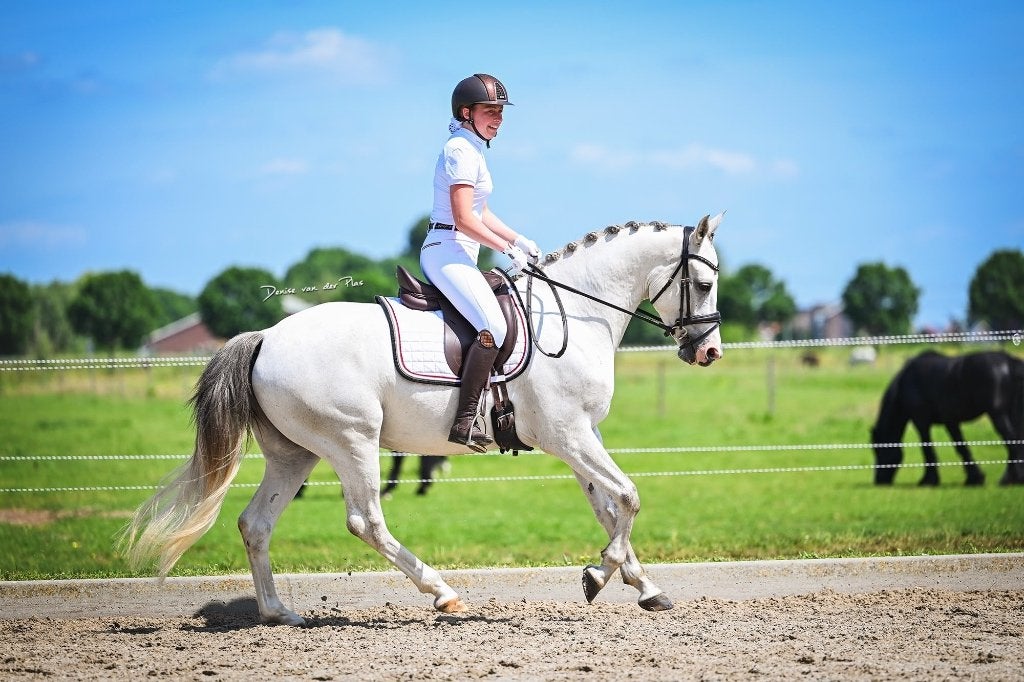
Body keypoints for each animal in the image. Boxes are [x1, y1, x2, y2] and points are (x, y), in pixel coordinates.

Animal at [121, 215, 724, 625]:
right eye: (704, 284)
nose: (709, 352)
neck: (572, 315)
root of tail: (266, 337)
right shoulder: (566, 435)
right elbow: (628, 496)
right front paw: (599, 575)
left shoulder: (583, 434)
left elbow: (608, 506)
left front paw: (642, 585)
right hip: (351, 441)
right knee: (365, 521)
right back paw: (442, 592)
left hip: (295, 454)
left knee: (256, 523)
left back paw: (277, 612)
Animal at [871, 350, 1024, 486]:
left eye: (878, 451)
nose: (879, 481)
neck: (906, 383)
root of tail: (1010, 363)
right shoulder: (950, 421)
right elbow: (961, 447)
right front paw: (974, 478)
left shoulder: (922, 422)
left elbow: (928, 448)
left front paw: (929, 480)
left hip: (998, 415)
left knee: (1012, 442)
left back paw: (1008, 480)